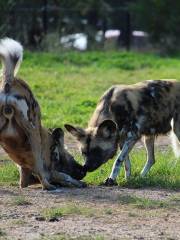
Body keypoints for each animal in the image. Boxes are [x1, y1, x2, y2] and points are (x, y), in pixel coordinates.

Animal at [0, 38, 86, 190]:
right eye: (72, 158)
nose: (84, 170)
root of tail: (9, 81)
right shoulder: (48, 169)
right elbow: (63, 176)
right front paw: (76, 182)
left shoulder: (25, 173)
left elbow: (24, 182)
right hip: (32, 130)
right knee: (44, 177)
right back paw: (49, 187)